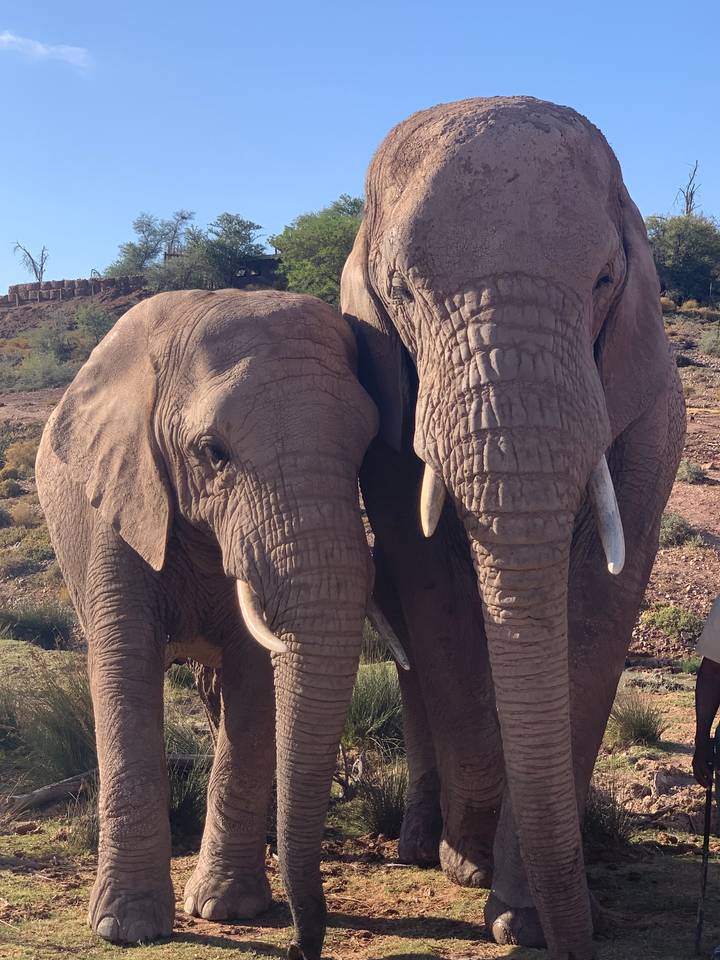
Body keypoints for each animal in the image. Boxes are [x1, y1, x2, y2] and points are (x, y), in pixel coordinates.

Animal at [35, 288, 380, 960]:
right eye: (213, 453)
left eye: (366, 450)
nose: (302, 946)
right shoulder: (119, 498)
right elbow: (124, 671)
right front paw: (127, 928)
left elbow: (255, 677)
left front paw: (230, 907)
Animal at [341, 96, 685, 960]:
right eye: (400, 292)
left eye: (604, 280)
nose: (579, 941)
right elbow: (433, 589)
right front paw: (468, 867)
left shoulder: (649, 413)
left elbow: (598, 610)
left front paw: (524, 914)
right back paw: (424, 846)